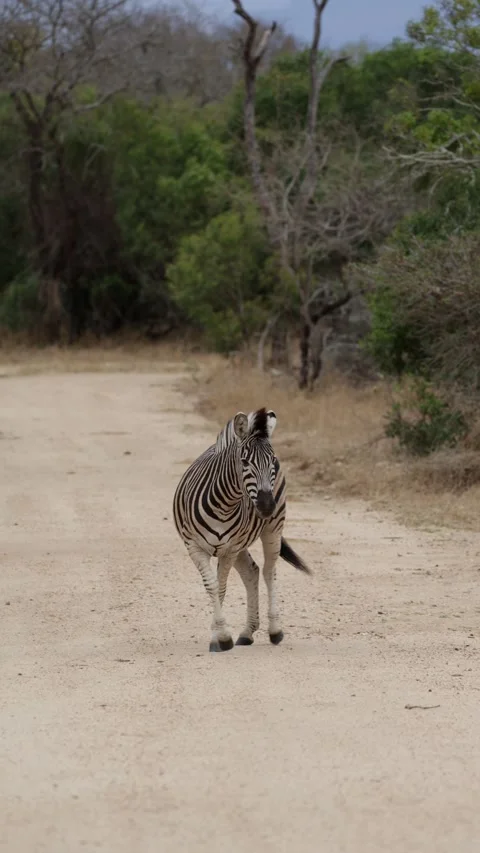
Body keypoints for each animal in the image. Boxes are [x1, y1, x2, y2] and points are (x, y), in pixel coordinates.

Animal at [173, 407, 311, 652]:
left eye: (272, 461)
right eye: (245, 462)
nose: (266, 506)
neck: (223, 504)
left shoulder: (228, 549)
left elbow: (221, 587)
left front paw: (220, 636)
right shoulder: (195, 547)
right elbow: (212, 586)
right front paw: (220, 635)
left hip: (272, 529)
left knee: (268, 571)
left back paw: (274, 631)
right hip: (240, 544)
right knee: (252, 572)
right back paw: (247, 633)